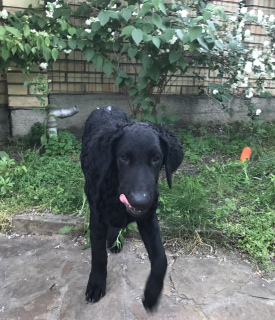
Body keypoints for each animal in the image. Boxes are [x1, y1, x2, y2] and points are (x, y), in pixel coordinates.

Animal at [81, 107, 184, 310]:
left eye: (156, 158)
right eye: (123, 157)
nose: (140, 201)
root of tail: (106, 107)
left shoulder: (148, 219)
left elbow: (161, 259)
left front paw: (151, 294)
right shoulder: (97, 217)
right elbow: (98, 255)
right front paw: (96, 284)